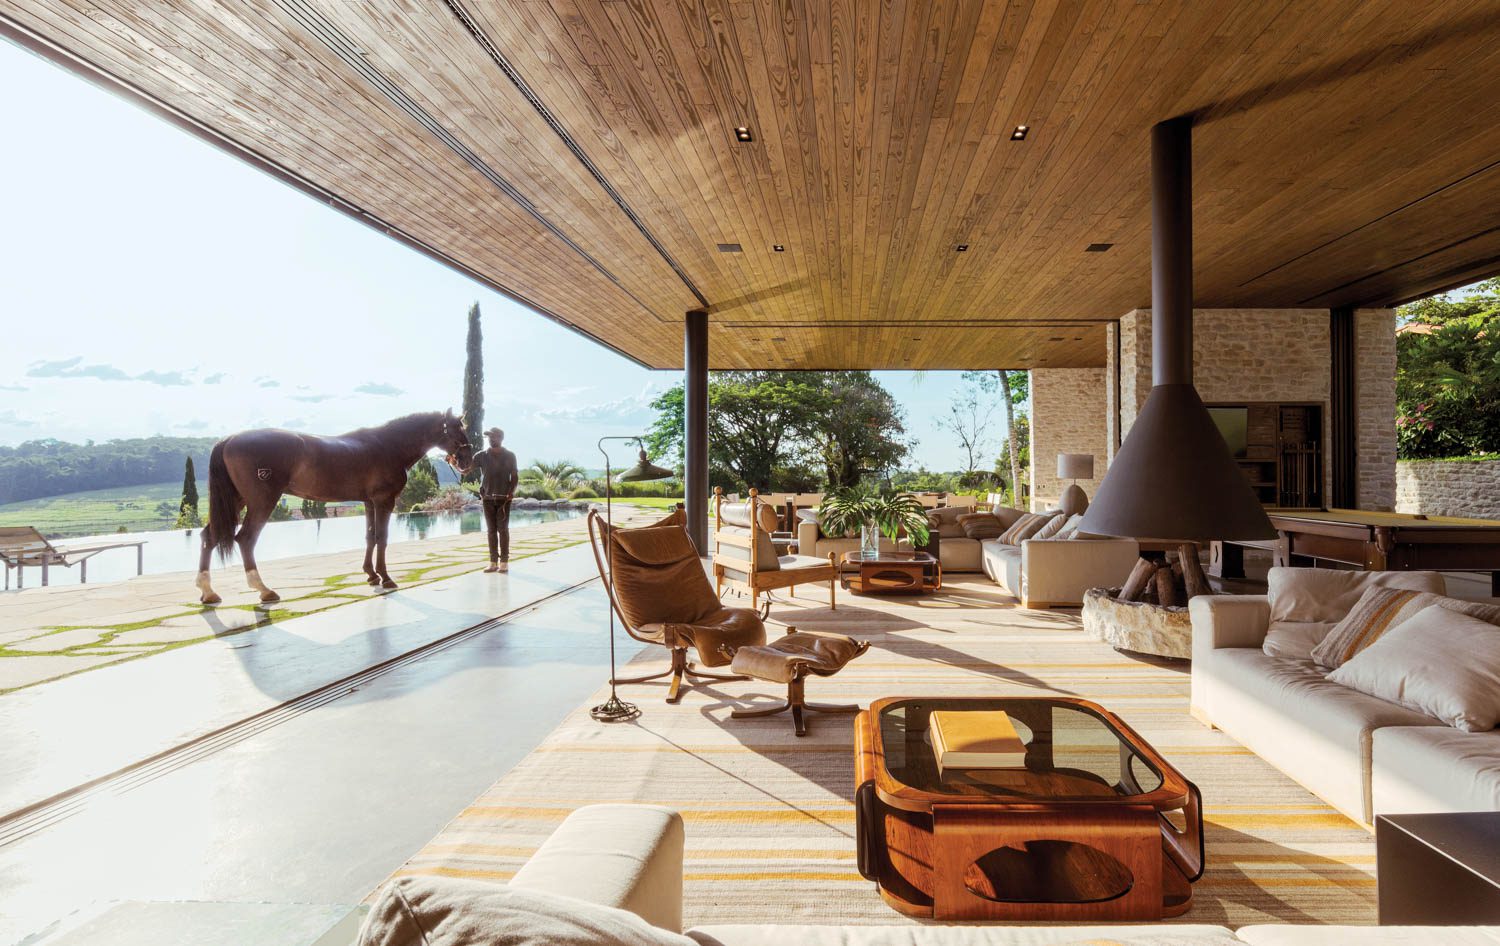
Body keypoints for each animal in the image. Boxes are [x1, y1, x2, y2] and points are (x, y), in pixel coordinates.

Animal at [196, 407, 471, 605]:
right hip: (261, 501)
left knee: (209, 536)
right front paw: (386, 578)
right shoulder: (384, 501)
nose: (467, 460)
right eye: (456, 429)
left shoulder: (369, 502)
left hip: (236, 500)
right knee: (245, 539)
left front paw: (371, 575)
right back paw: (264, 590)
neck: (388, 445)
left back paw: (208, 592)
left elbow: (370, 536)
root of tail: (229, 439)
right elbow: (382, 538)